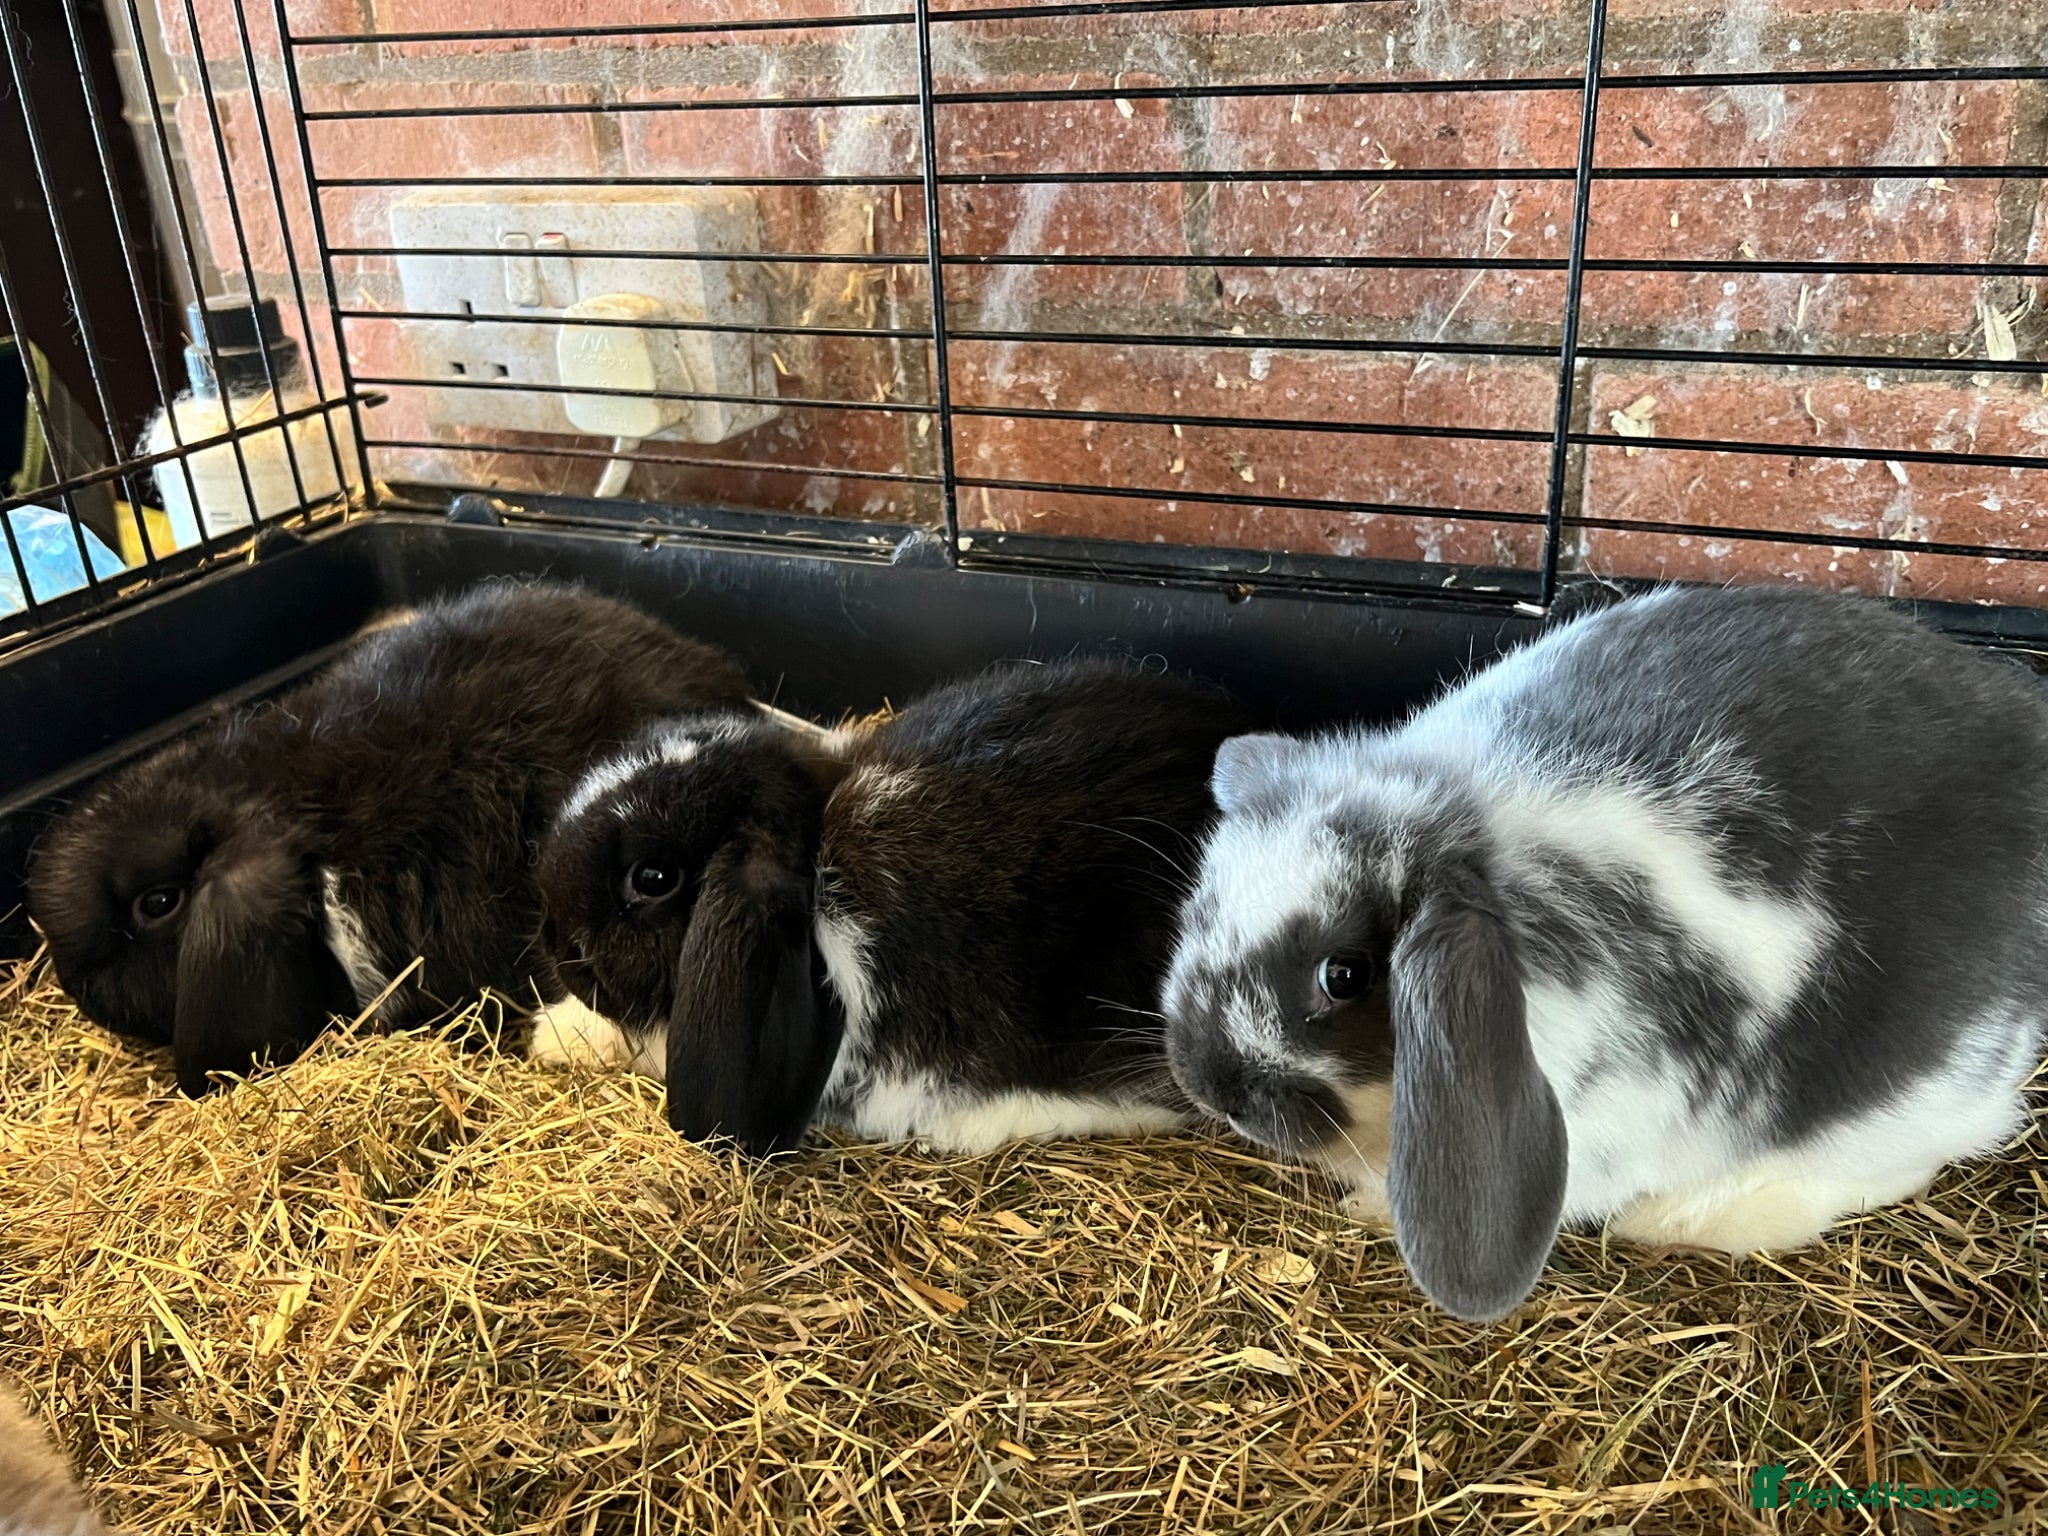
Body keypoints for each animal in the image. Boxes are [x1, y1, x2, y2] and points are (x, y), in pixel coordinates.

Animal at [1162, 583, 2048, 1323]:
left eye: (1343, 976)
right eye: (1201, 904)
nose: (1211, 1084)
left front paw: (1369, 1210)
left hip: (1907, 1099)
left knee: (1894, 1164)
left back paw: (1683, 1218)